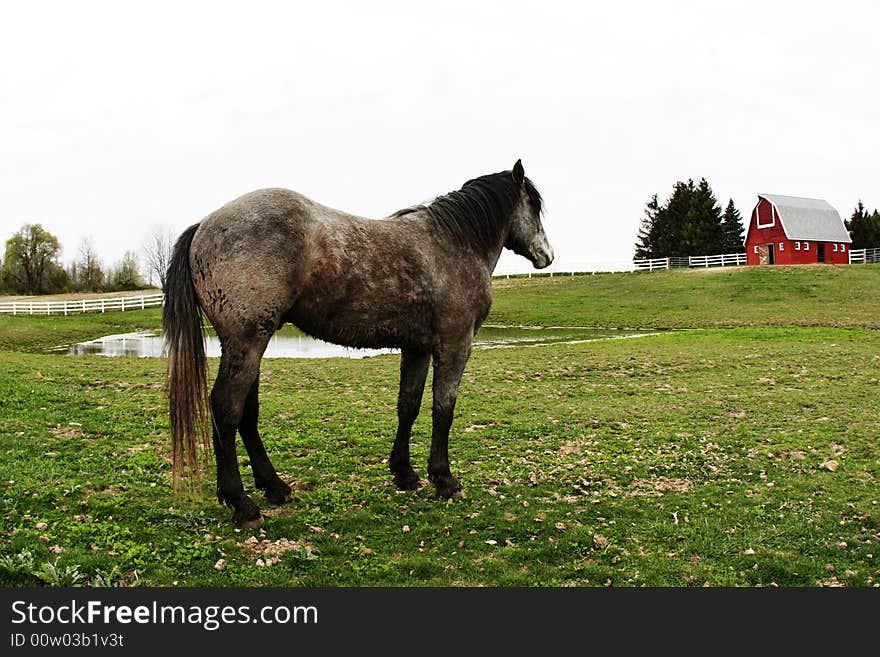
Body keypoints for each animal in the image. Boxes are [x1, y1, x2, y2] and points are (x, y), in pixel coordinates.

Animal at [163, 161, 552, 524]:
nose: (547, 255)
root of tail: (203, 226)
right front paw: (444, 480)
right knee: (226, 409)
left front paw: (404, 473)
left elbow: (408, 406)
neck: (454, 244)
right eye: (534, 204)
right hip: (247, 342)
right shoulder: (455, 345)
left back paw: (274, 487)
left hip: (250, 344)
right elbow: (444, 409)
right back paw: (242, 503)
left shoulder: (417, 348)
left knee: (246, 414)